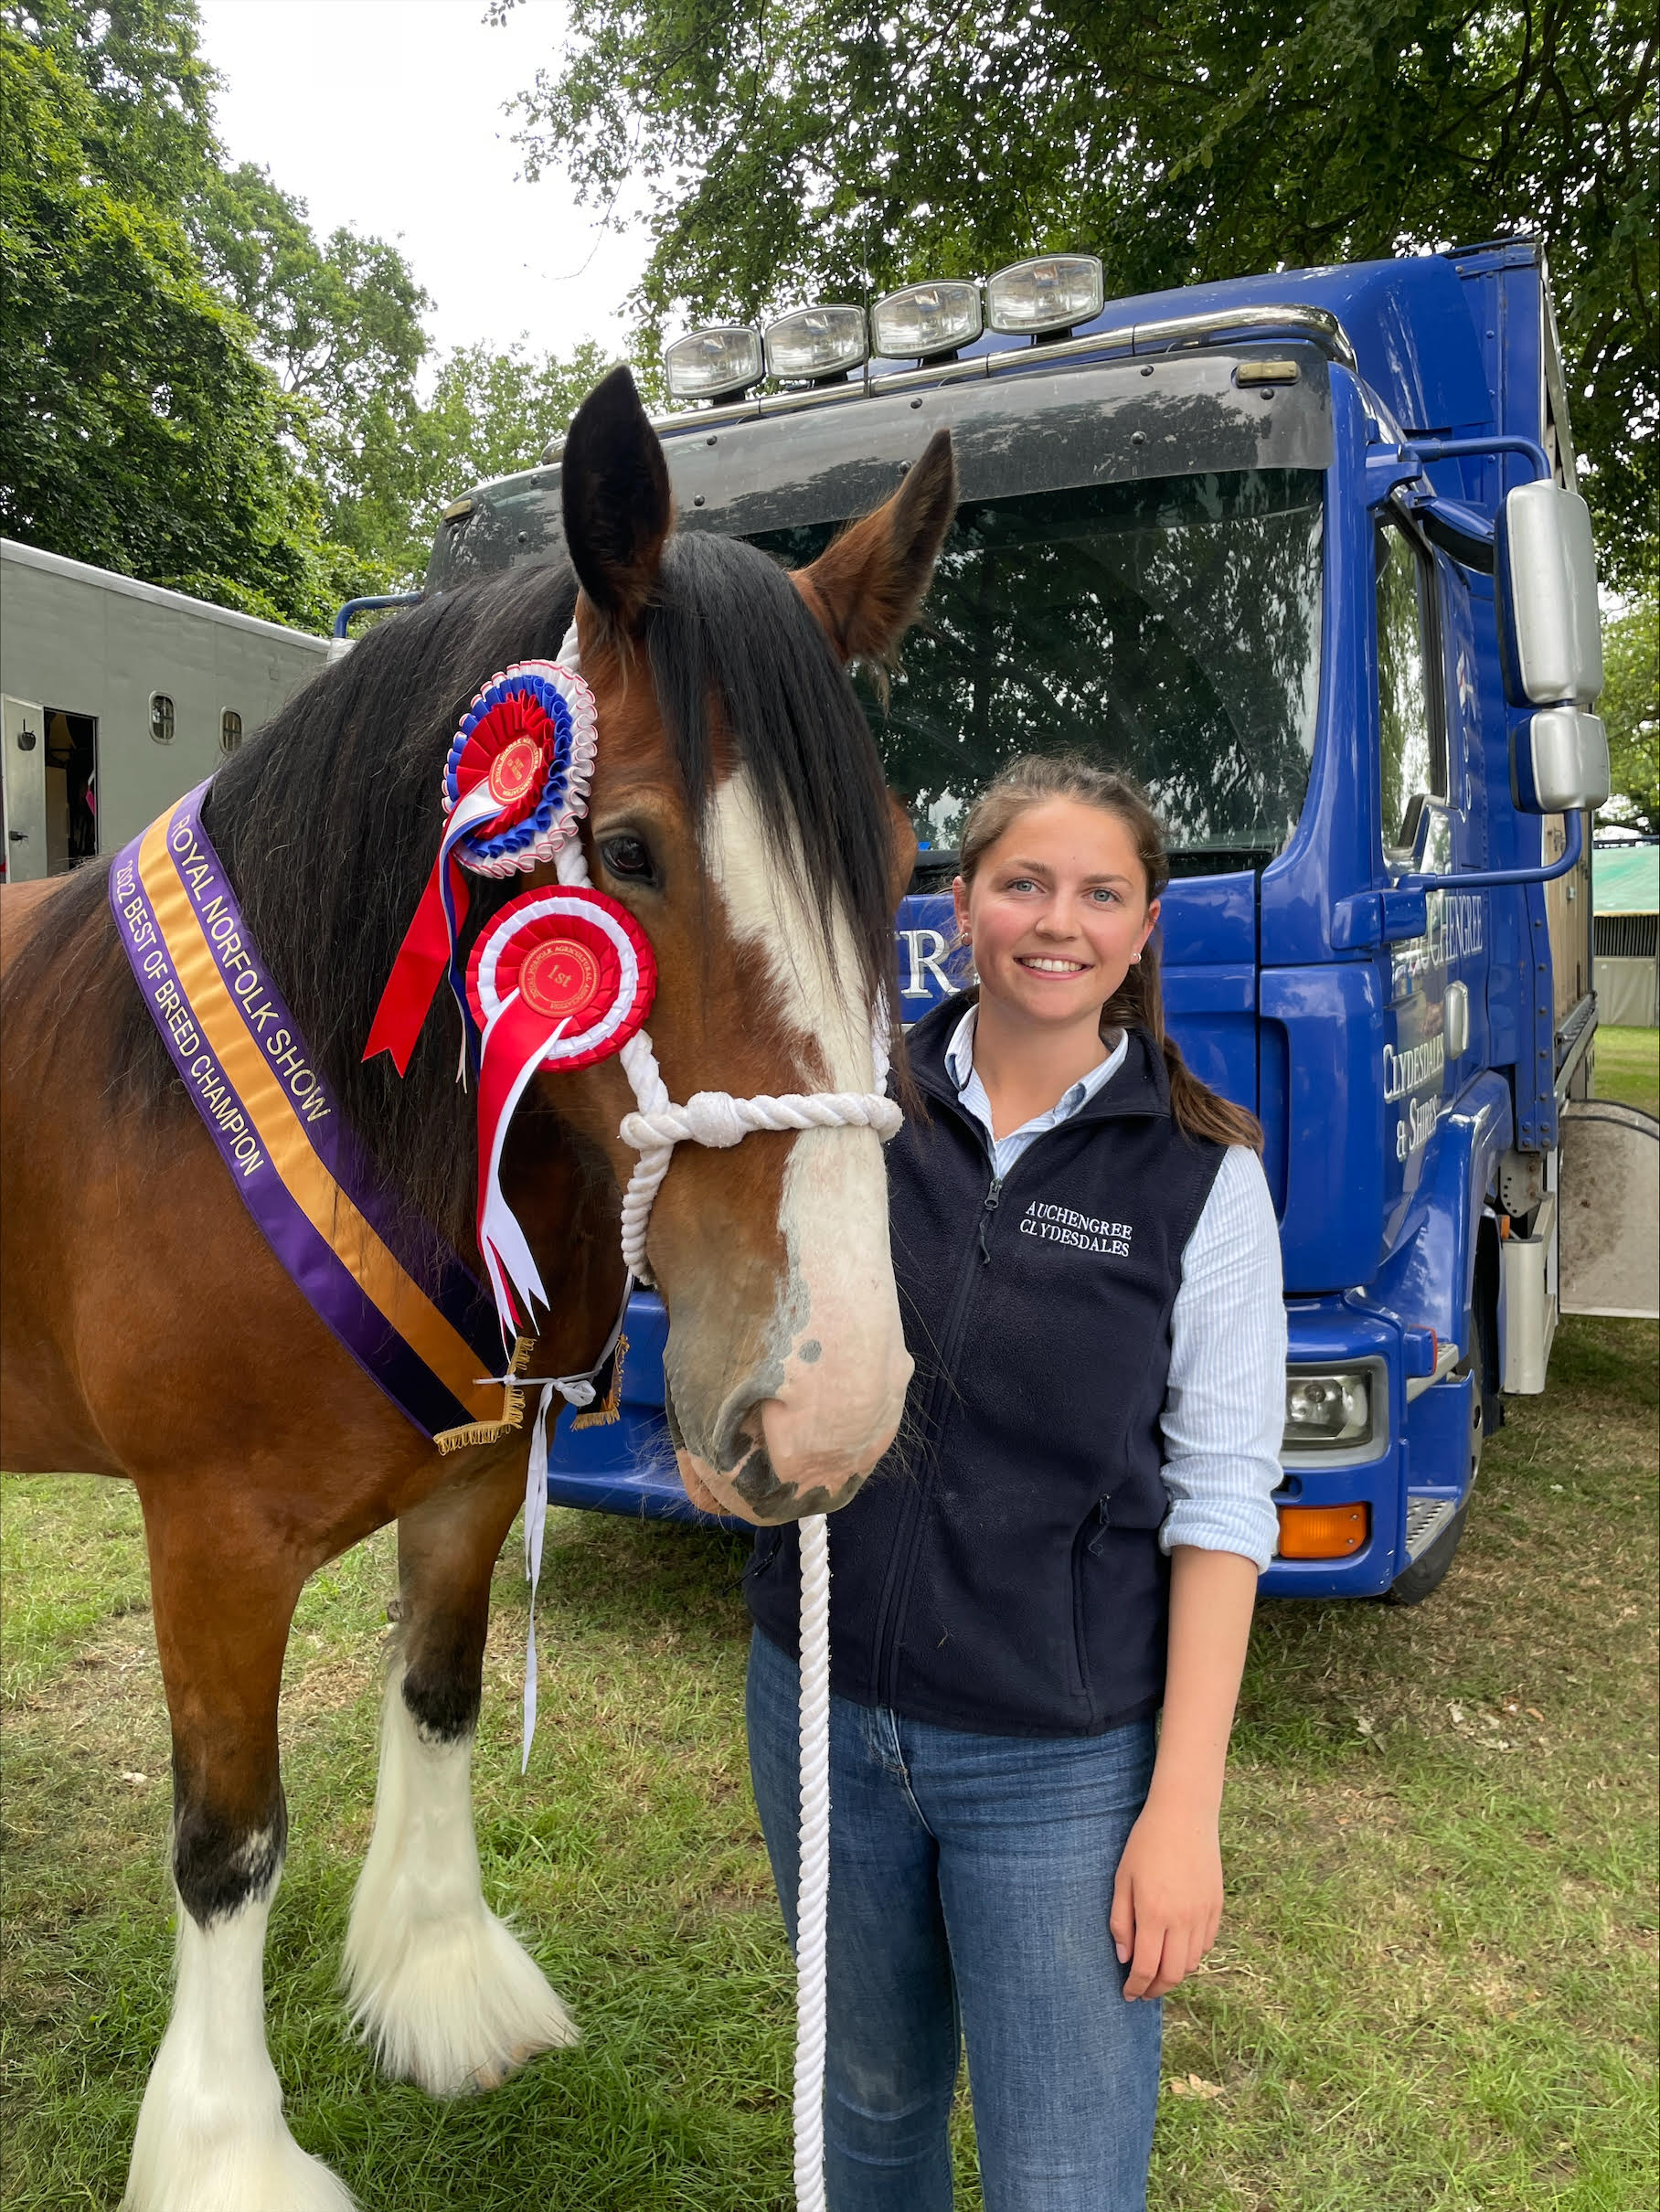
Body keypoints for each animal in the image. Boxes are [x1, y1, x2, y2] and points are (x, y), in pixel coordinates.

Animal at [0, 371, 960, 2203]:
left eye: (893, 861)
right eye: (631, 852)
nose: (832, 1407)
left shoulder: (477, 1473)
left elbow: (437, 1702)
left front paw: (439, 1985)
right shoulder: (207, 1542)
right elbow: (227, 1842)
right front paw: (228, 2153)